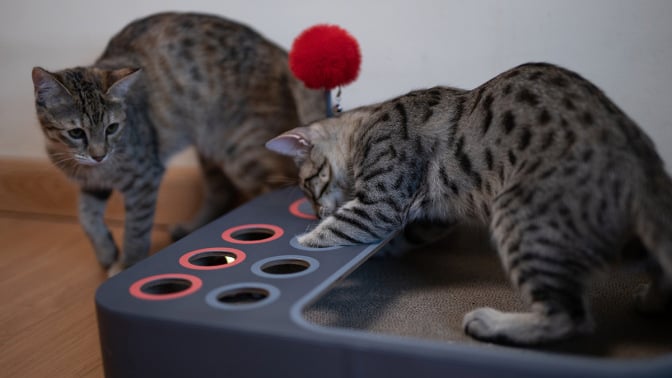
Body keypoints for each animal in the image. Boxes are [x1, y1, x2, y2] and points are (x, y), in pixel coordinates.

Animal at [32, 13, 326, 276]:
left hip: (241, 150)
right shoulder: (93, 185)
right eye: (76, 132)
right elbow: (86, 217)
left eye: (111, 128)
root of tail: (278, 51)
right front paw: (105, 250)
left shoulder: (144, 178)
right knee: (221, 191)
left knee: (272, 188)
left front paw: (127, 263)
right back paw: (194, 226)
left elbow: (136, 230)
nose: (98, 155)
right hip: (211, 147)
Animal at [266, 62, 672, 346]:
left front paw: (303, 240)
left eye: (307, 186)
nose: (316, 210)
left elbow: (339, 227)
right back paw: (652, 299)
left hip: (521, 218)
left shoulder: (381, 202)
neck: (367, 122)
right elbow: (401, 239)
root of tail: (640, 160)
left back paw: (492, 323)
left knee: (569, 317)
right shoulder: (435, 219)